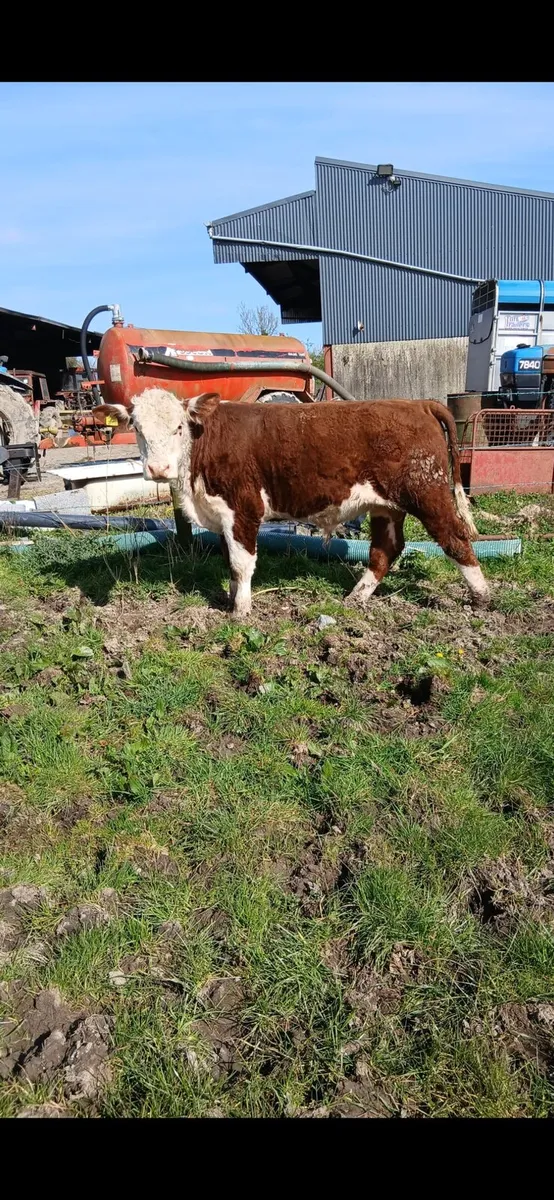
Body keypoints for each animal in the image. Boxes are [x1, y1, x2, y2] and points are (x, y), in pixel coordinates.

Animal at [93, 389, 490, 618]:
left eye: (178, 427)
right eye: (137, 428)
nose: (158, 468)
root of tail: (417, 404)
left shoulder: (243, 508)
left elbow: (241, 563)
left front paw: (241, 611)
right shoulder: (221, 516)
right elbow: (228, 561)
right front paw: (231, 599)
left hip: (428, 492)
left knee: (455, 538)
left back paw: (481, 597)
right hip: (386, 505)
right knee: (385, 549)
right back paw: (356, 598)